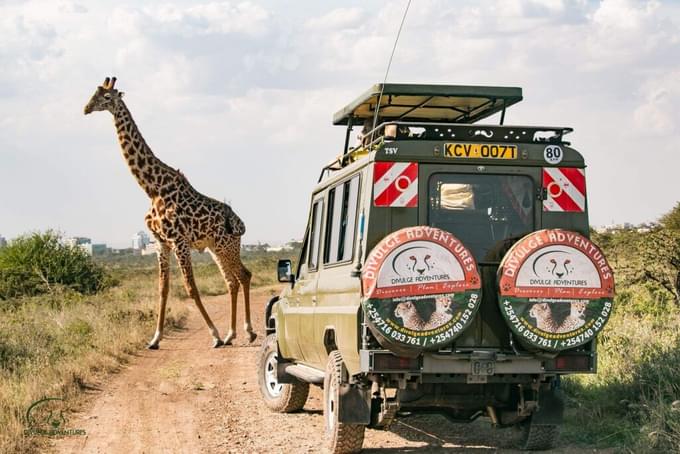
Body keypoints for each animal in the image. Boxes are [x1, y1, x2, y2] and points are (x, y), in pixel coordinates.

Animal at [85, 76, 255, 350]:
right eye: (93, 93)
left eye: (107, 97)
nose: (86, 108)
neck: (152, 188)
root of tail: (241, 224)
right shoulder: (160, 242)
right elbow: (163, 289)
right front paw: (154, 339)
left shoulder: (179, 241)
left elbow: (190, 287)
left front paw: (214, 335)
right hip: (215, 247)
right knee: (232, 281)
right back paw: (232, 334)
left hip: (227, 245)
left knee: (244, 276)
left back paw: (246, 332)